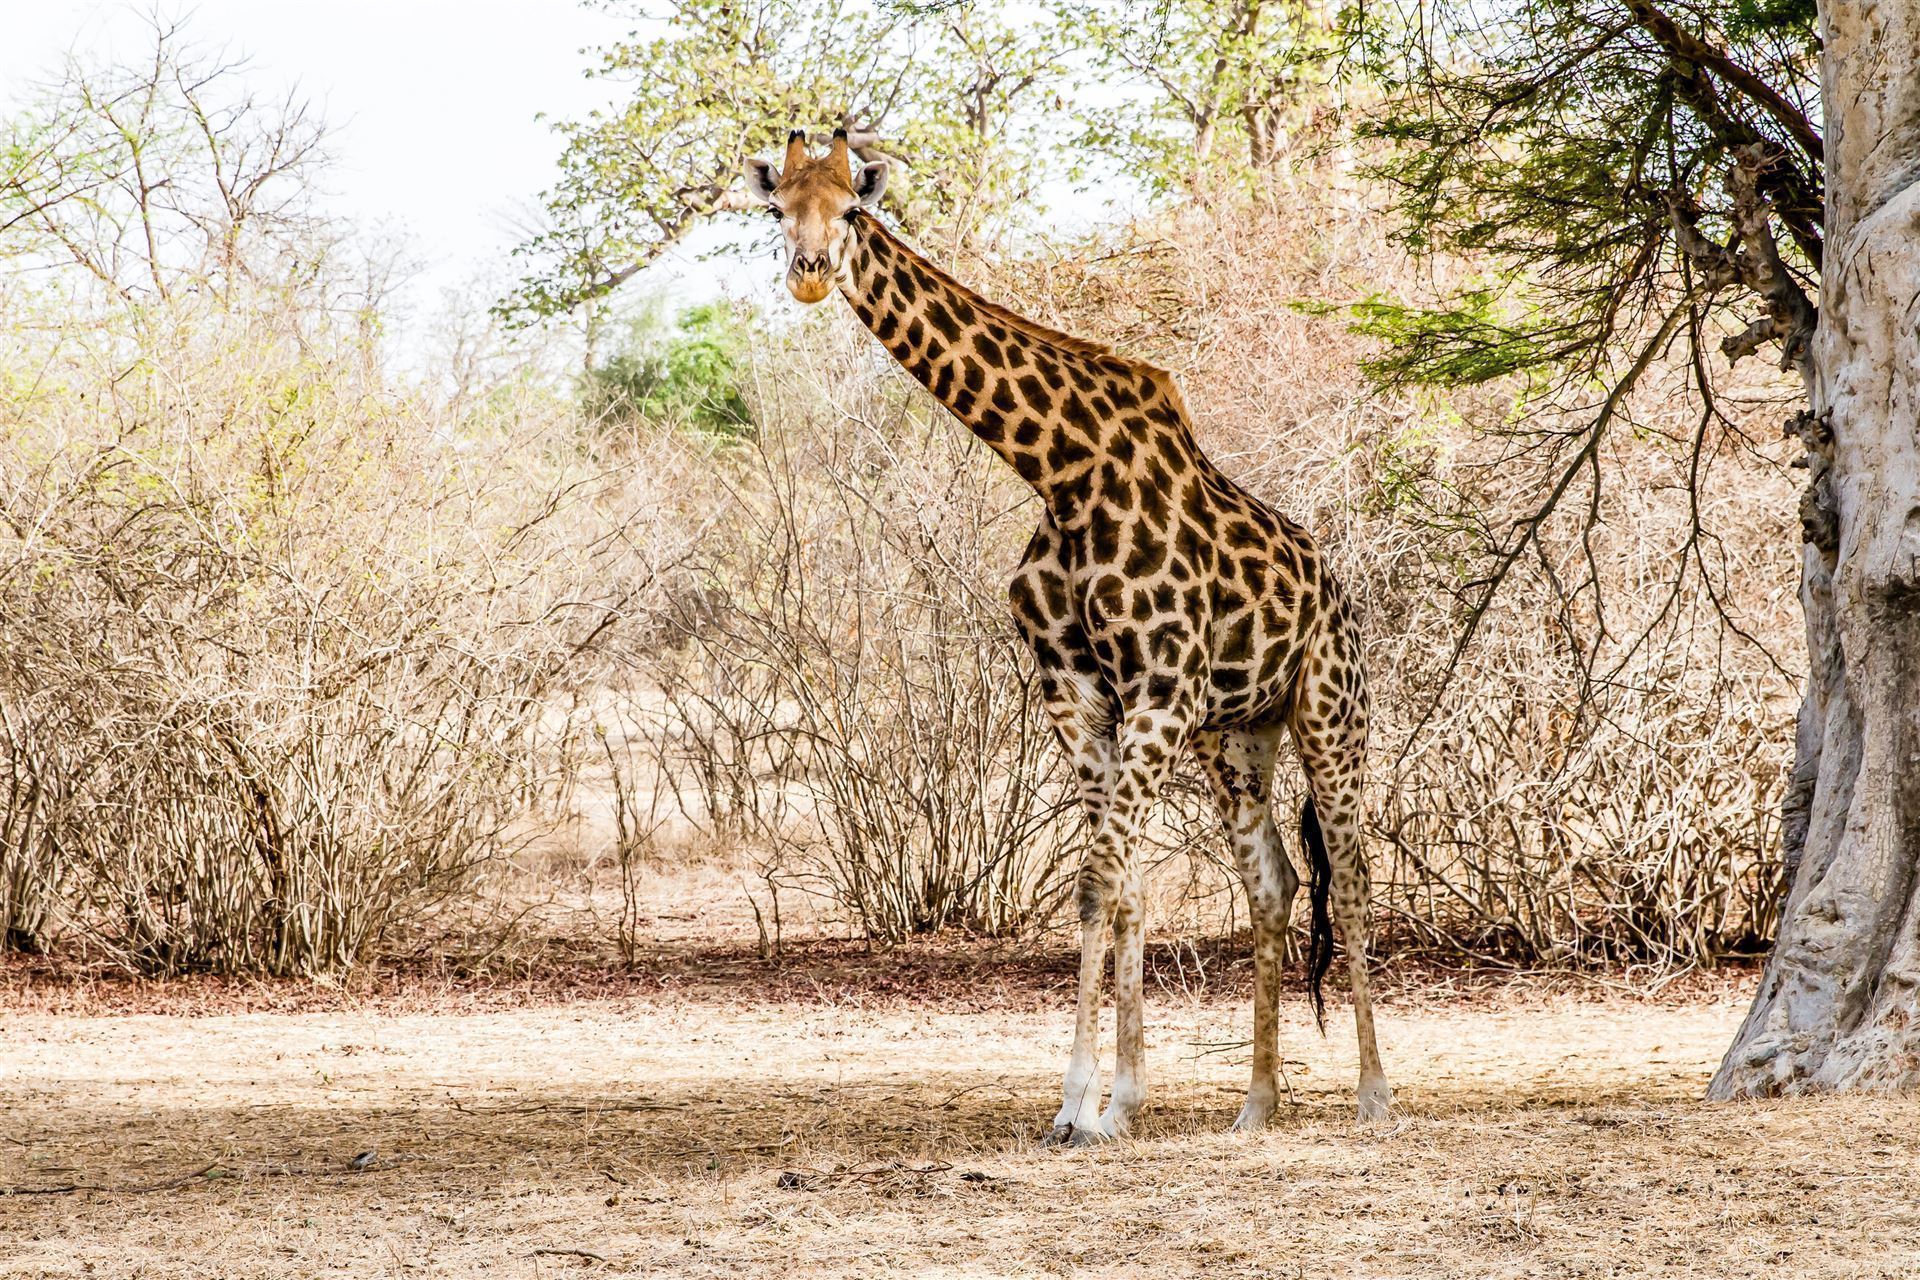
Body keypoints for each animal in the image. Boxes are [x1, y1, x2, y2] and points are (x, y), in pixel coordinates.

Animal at [747, 130, 1392, 1144]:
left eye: (851, 209)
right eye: (779, 210)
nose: (809, 275)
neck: (1061, 470)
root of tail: (1339, 590)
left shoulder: (1159, 690)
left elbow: (1099, 880)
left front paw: (1079, 1105)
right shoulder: (1081, 694)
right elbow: (1118, 885)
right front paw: (1117, 1100)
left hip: (1330, 710)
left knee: (1355, 872)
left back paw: (1372, 1094)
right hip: (1238, 735)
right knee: (1275, 881)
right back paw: (1255, 1104)